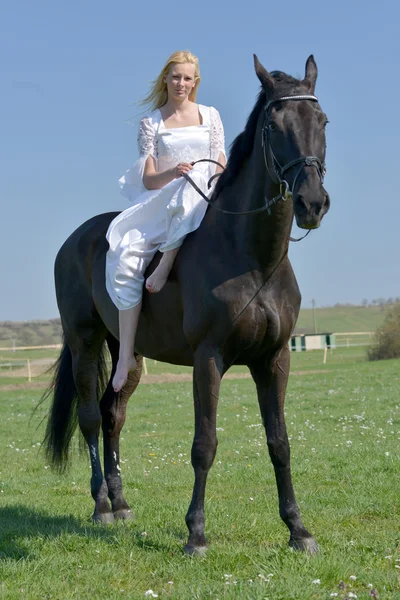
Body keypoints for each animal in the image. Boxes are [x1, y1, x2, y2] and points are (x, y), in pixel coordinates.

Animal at [44, 55, 332, 552]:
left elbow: (280, 442)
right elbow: (204, 444)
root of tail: (75, 239)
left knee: (112, 414)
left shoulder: (274, 360)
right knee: (89, 418)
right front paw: (196, 533)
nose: (311, 203)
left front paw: (298, 529)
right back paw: (101, 507)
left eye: (323, 121)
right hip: (84, 343)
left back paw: (120, 503)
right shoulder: (208, 358)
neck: (250, 256)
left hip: (128, 354)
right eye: (274, 126)